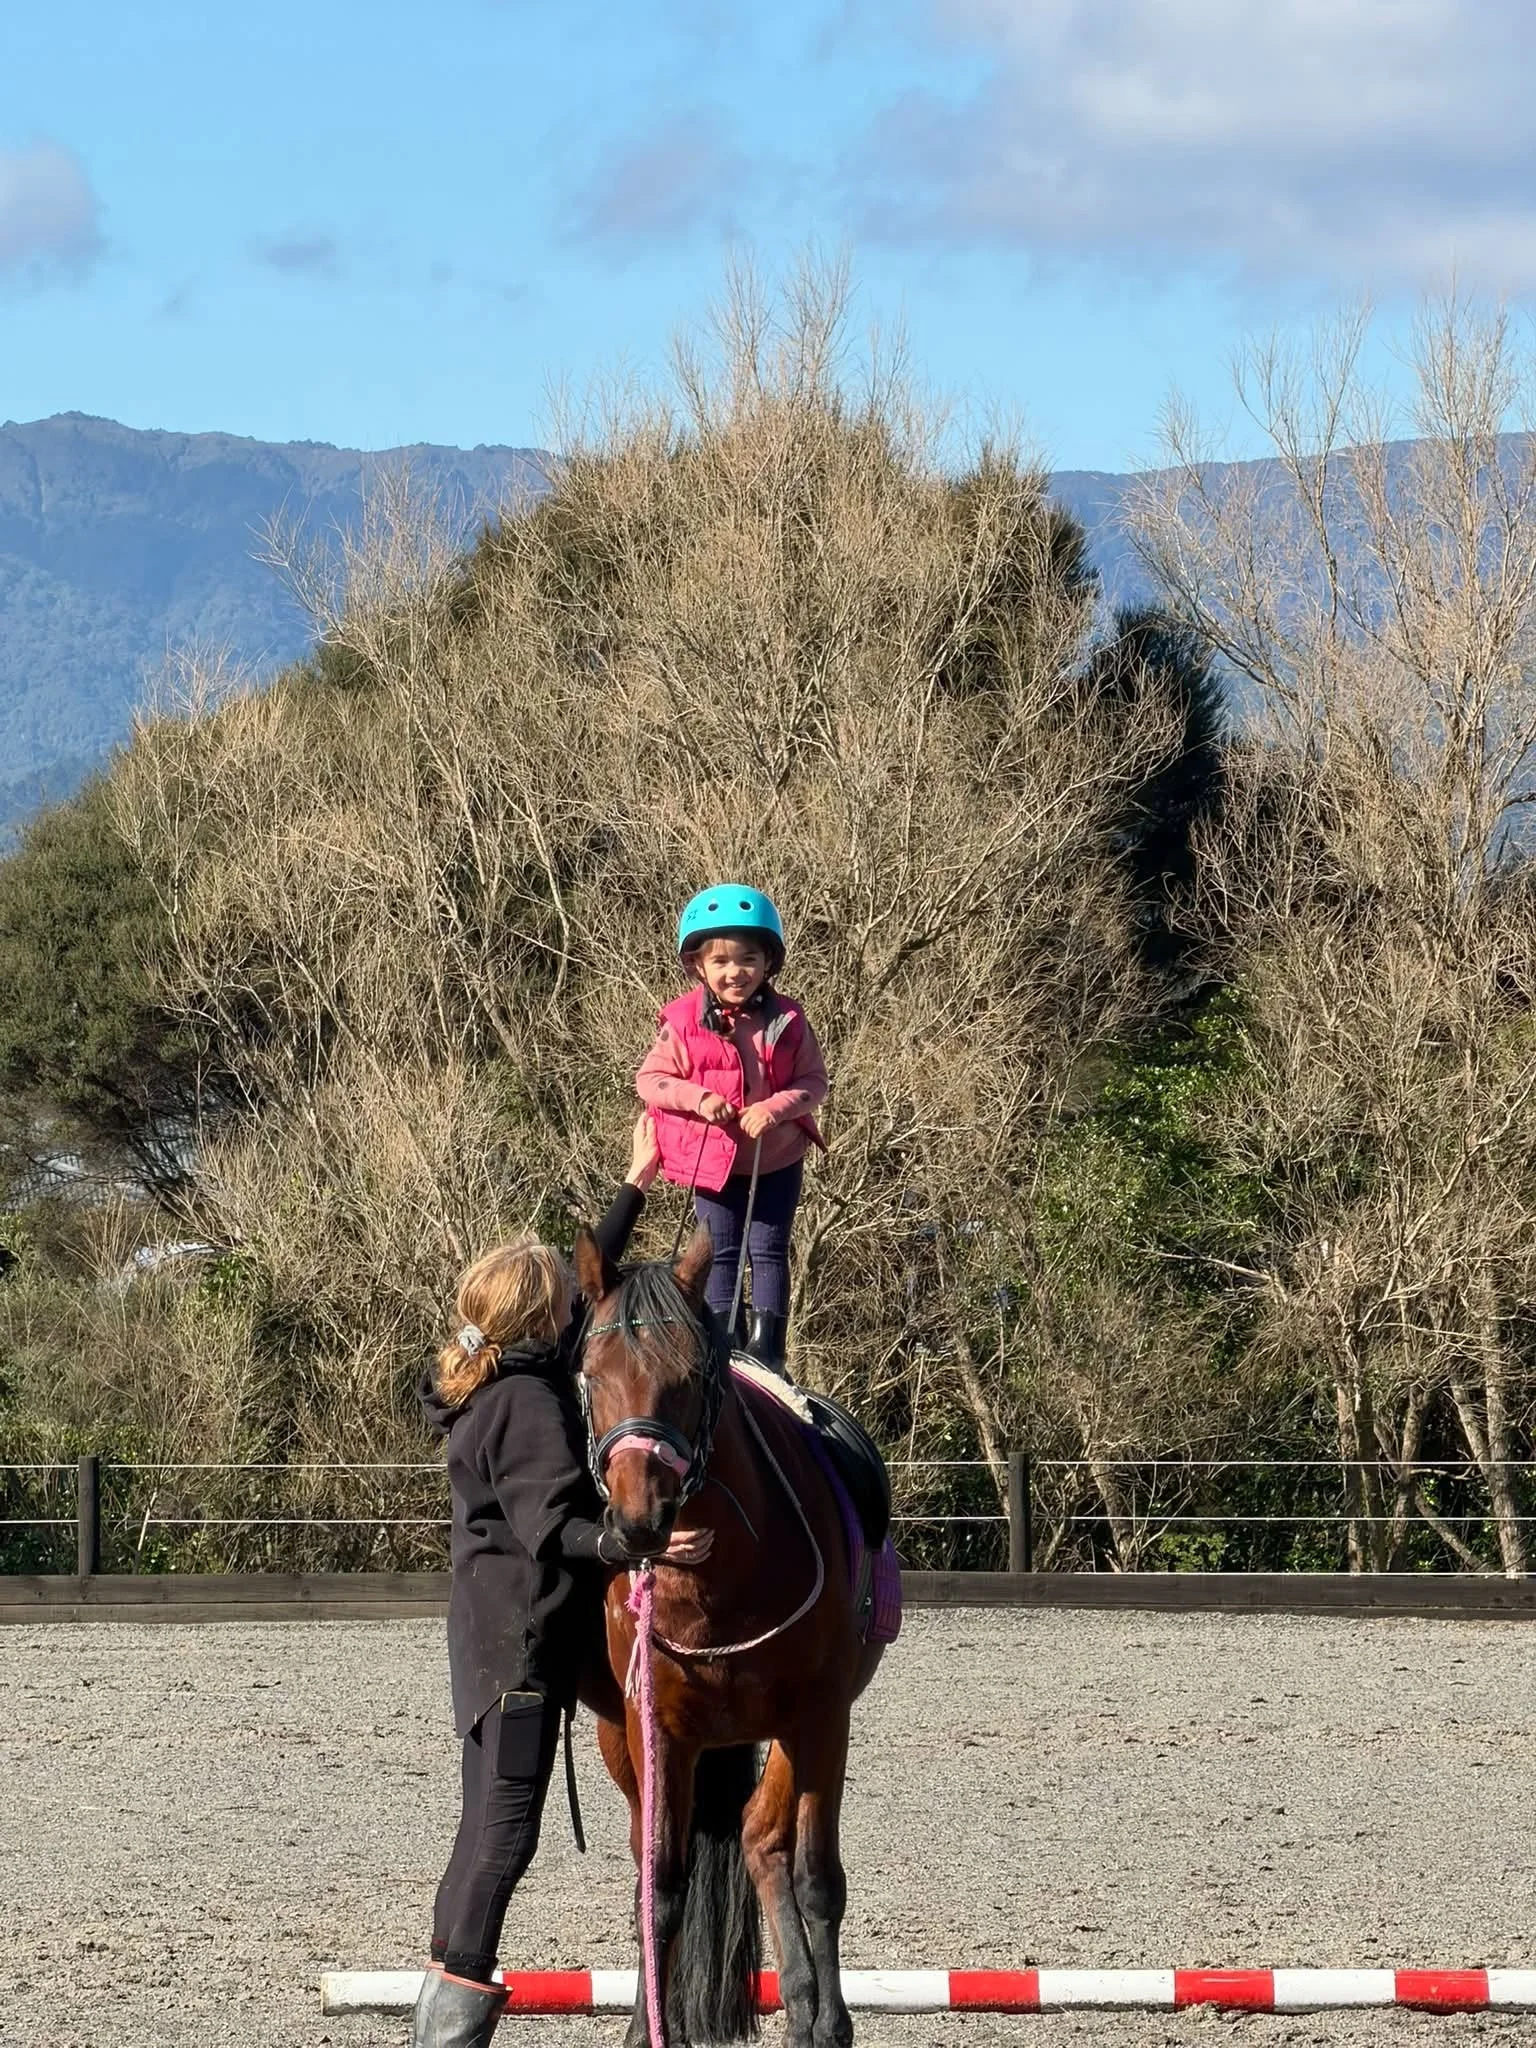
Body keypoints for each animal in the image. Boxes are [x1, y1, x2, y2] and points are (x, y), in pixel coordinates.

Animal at [573, 1223, 890, 2048]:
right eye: (591, 1376)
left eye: (691, 1375)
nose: (638, 1522)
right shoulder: (657, 1730)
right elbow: (660, 1886)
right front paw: (649, 2032)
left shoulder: (822, 1717)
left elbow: (816, 1877)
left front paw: (829, 2022)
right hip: (628, 1742)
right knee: (693, 1853)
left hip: (794, 1730)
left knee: (766, 1841)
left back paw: (811, 2008)